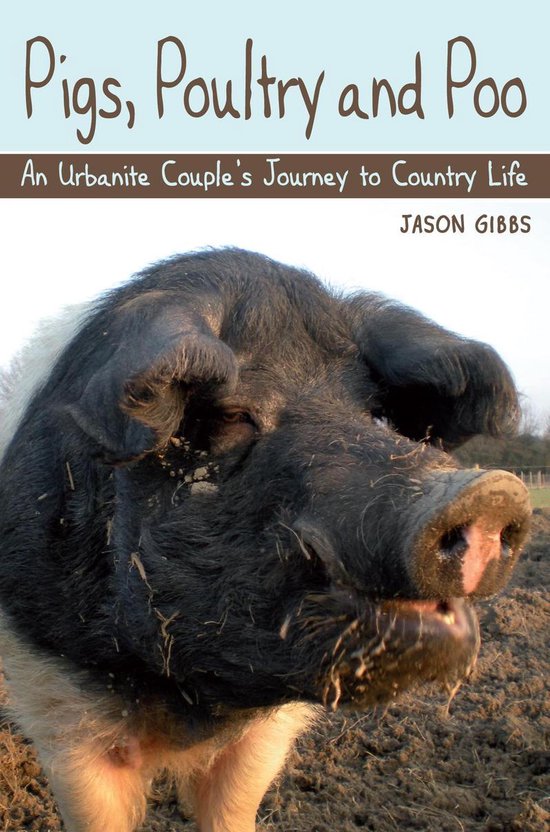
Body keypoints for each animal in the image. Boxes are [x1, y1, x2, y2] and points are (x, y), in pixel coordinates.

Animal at [0, 248, 531, 832]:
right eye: (232, 415)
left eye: (376, 415)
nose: (493, 492)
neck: (191, 702)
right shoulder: (55, 697)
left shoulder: (266, 736)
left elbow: (235, 807)